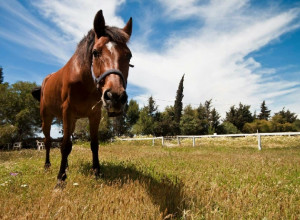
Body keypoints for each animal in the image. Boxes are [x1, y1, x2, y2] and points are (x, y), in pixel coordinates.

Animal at [31, 9, 132, 186]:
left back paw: (66, 166)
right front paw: (60, 179)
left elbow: (93, 144)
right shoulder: (67, 112)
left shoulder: (94, 115)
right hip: (47, 117)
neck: (85, 82)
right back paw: (48, 166)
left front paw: (97, 172)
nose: (115, 96)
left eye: (129, 56)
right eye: (96, 52)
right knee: (48, 141)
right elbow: (64, 145)